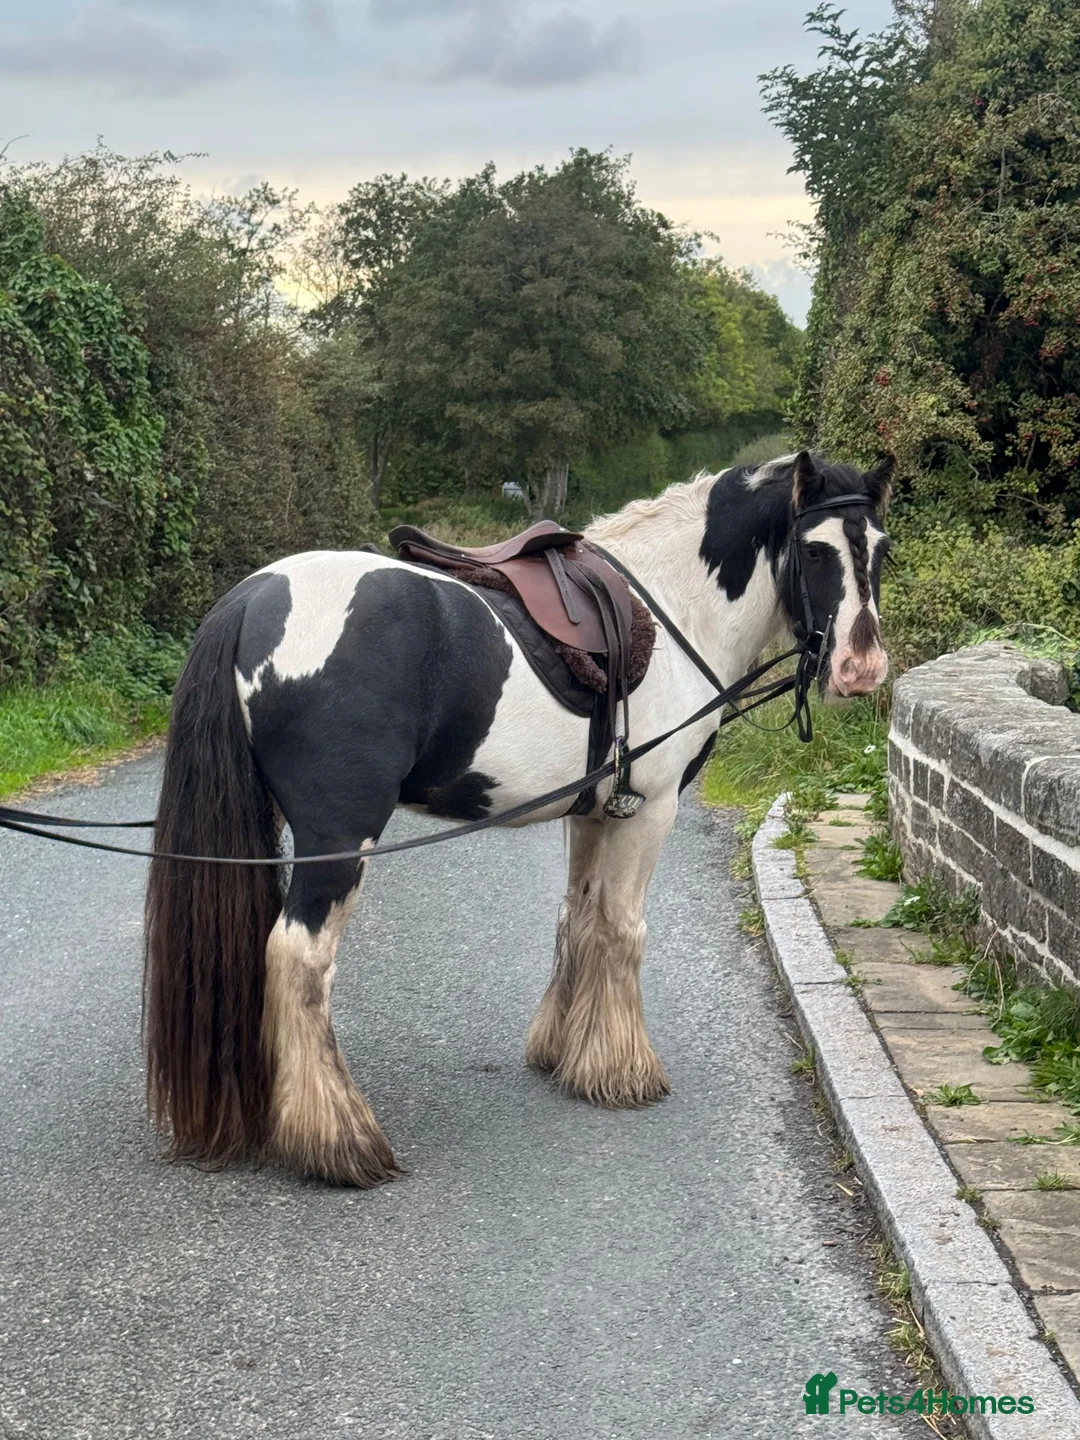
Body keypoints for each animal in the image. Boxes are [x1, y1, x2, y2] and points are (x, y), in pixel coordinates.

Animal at [144, 449, 893, 1187]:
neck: (673, 604)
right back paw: (340, 1142)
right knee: (299, 959)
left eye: (881, 549)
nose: (861, 669)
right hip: (338, 840)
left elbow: (580, 917)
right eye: (816, 551)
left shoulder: (593, 811)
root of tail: (249, 600)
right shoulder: (649, 809)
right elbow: (623, 929)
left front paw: (566, 1053)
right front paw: (622, 1071)